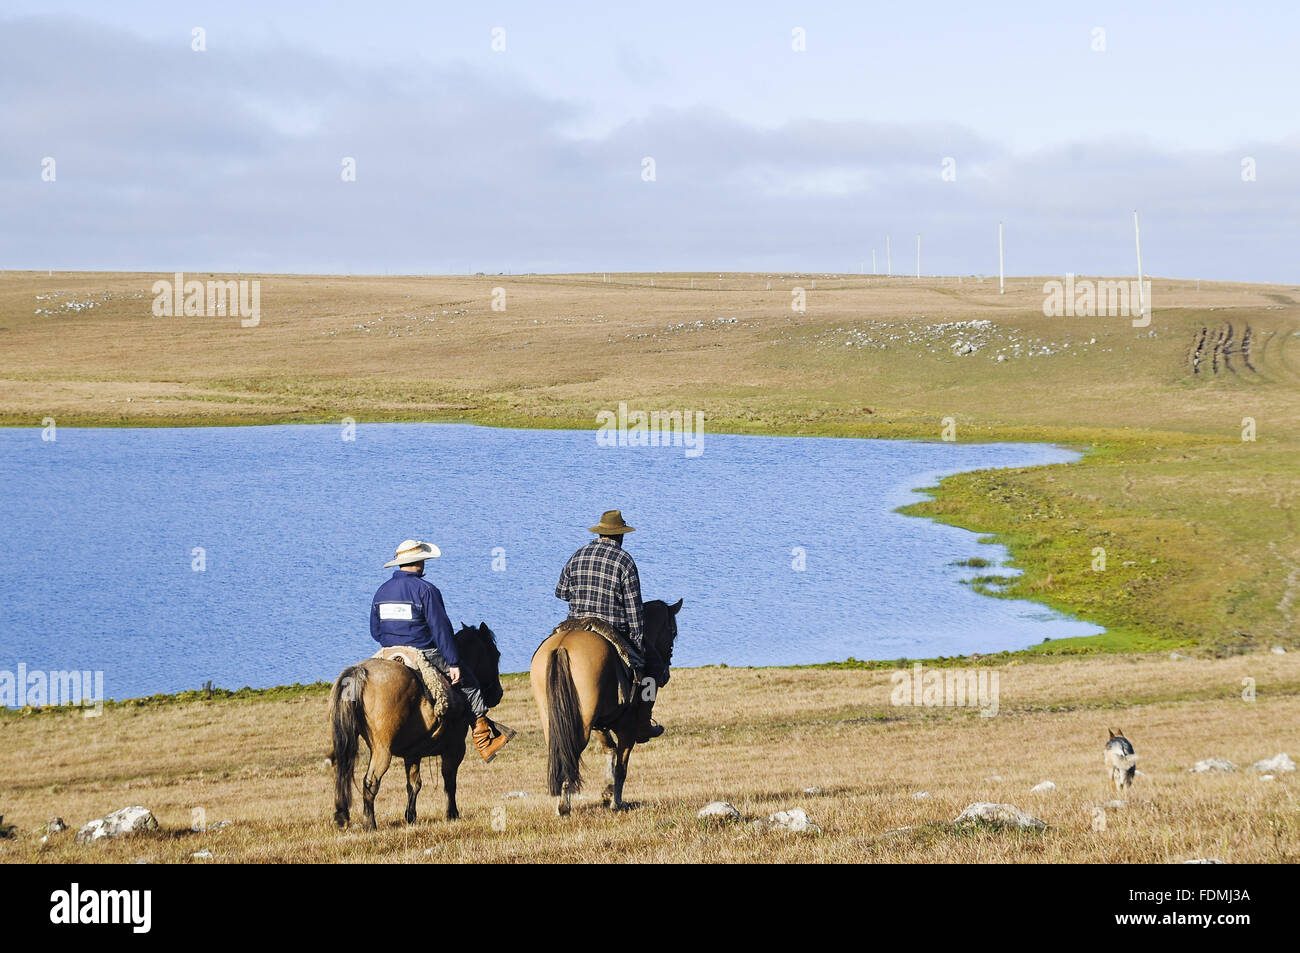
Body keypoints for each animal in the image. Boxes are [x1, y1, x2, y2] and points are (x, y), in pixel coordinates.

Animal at [330, 624, 501, 826]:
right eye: (496, 654)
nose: (498, 694)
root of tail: (359, 673)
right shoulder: (455, 748)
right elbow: (449, 780)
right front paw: (452, 813)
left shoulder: (412, 754)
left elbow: (414, 784)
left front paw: (410, 816)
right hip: (382, 750)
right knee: (370, 781)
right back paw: (370, 823)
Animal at [530, 598, 686, 816]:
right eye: (673, 632)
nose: (665, 673)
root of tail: (562, 646)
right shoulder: (627, 728)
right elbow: (621, 766)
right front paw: (616, 802)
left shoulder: (599, 724)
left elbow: (609, 750)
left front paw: (607, 793)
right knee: (570, 755)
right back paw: (564, 806)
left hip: (553, 720)